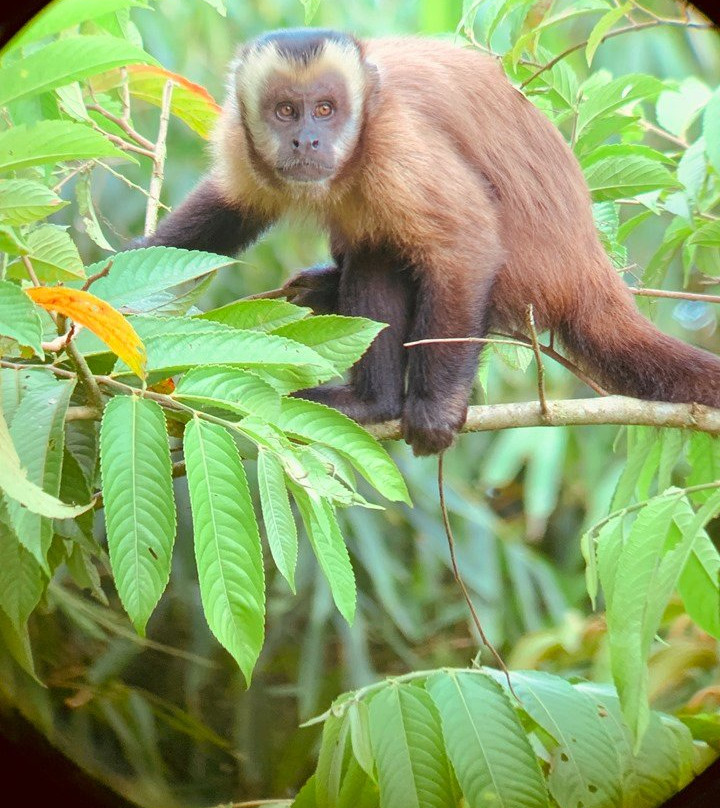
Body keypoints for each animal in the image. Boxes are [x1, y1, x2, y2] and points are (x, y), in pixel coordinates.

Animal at [141, 28, 720, 454]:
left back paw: (371, 403)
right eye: (286, 111)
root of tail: (589, 271)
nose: (307, 140)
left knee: (384, 254)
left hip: (529, 277)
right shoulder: (240, 138)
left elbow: (466, 248)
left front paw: (435, 410)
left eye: (325, 109)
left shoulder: (399, 145)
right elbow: (224, 214)